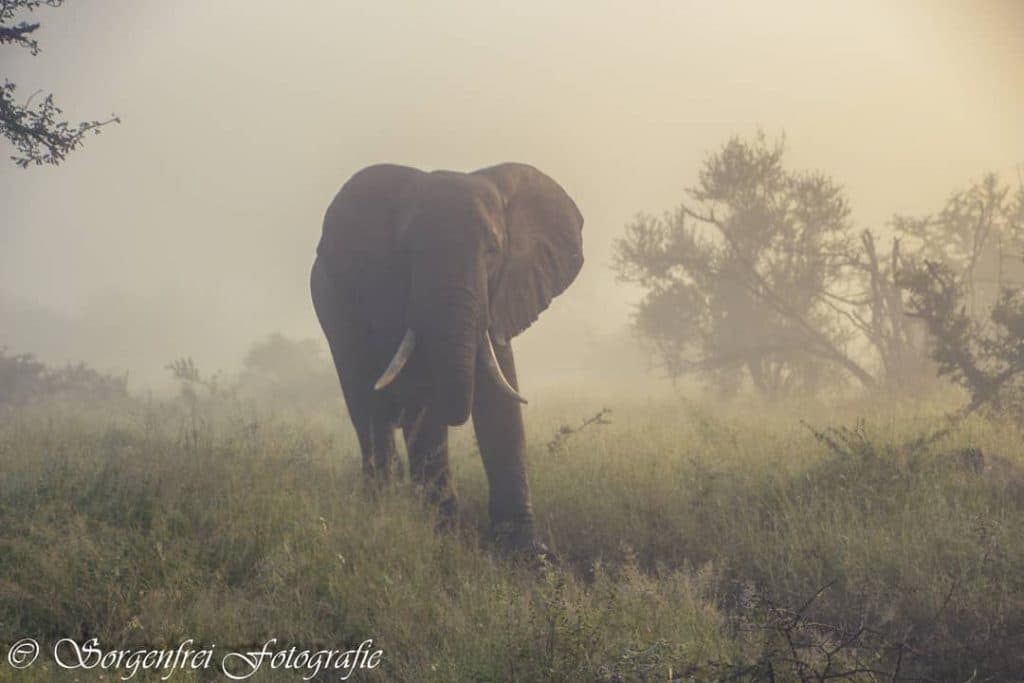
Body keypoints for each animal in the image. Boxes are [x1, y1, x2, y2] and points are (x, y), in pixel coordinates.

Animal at [307, 162, 585, 552]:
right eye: (408, 252)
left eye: (493, 250)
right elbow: (422, 403)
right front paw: (443, 538)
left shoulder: (500, 296)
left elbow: (500, 400)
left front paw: (529, 552)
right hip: (334, 318)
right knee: (365, 409)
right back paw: (380, 506)